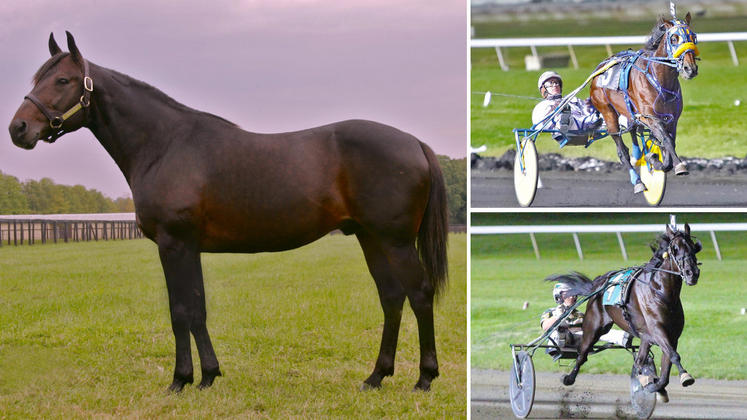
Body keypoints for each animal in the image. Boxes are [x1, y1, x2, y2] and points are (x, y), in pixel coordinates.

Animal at [7, 32, 450, 394]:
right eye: (38, 80)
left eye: (63, 81)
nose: (18, 129)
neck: (164, 144)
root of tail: (414, 142)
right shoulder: (189, 248)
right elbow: (197, 309)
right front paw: (208, 376)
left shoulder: (174, 244)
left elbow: (180, 311)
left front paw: (180, 380)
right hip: (370, 237)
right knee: (391, 298)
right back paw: (376, 377)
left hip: (395, 241)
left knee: (419, 293)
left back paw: (425, 378)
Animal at [548, 223, 700, 404]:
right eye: (675, 248)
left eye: (694, 247)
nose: (692, 273)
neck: (661, 291)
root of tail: (599, 283)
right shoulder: (657, 330)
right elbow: (674, 355)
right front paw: (685, 376)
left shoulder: (671, 335)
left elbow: (666, 365)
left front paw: (656, 386)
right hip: (593, 327)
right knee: (582, 354)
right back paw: (569, 378)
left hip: (643, 336)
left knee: (640, 361)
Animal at [592, 10, 700, 194]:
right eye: (674, 38)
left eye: (693, 36)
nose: (689, 69)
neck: (660, 79)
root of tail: (600, 67)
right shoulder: (649, 117)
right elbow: (666, 141)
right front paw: (676, 165)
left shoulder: (671, 120)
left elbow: (668, 142)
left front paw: (655, 159)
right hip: (608, 112)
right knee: (621, 150)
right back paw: (638, 182)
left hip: (630, 113)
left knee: (633, 131)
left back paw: (638, 156)